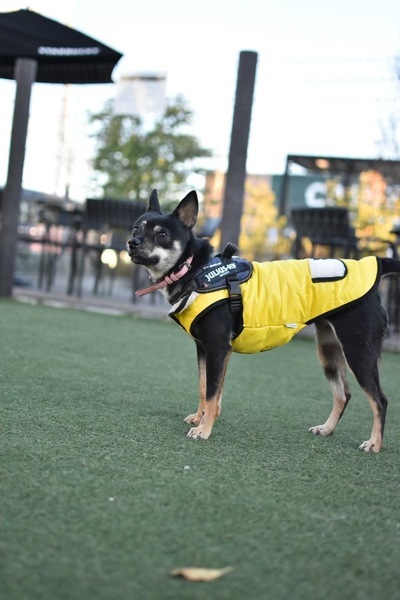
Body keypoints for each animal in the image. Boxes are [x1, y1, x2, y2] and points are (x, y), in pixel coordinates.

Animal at [127, 189, 400, 452]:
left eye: (162, 234)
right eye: (136, 228)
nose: (131, 242)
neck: (195, 270)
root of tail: (375, 264)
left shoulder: (217, 348)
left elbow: (212, 391)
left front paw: (203, 430)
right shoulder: (207, 349)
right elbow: (206, 388)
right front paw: (201, 417)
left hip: (358, 352)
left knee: (380, 400)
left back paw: (374, 444)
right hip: (329, 352)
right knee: (343, 394)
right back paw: (327, 429)